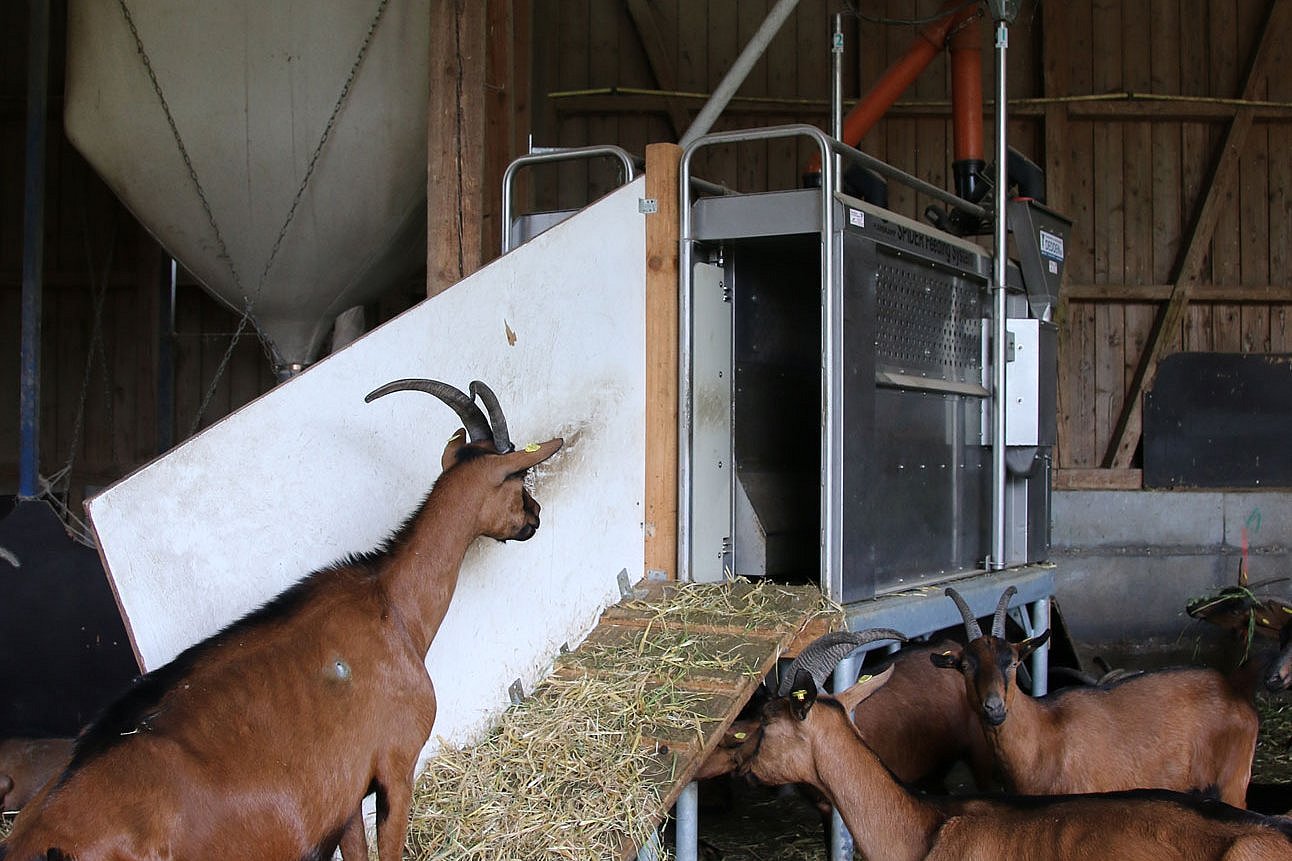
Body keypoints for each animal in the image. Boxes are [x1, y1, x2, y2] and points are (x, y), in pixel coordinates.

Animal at [935, 584, 1255, 806]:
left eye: (1013, 662)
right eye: (964, 666)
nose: (994, 707)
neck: (1044, 734)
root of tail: (1235, 695)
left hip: (1232, 784)